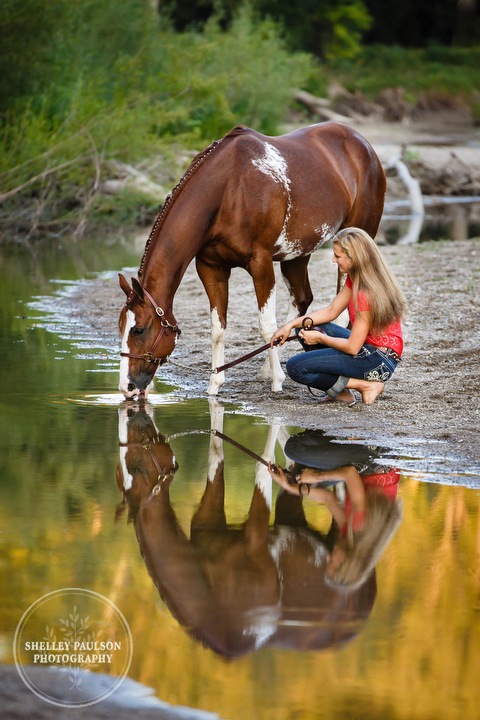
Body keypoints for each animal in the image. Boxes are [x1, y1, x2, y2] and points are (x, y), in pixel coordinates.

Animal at [119, 121, 386, 400]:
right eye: (120, 327)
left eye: (138, 330)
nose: (127, 387)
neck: (228, 190)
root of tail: (361, 143)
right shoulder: (211, 268)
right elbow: (218, 327)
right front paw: (215, 383)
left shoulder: (261, 263)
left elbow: (267, 325)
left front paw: (278, 382)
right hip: (297, 254)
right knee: (302, 301)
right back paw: (268, 368)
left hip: (352, 241)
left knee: (340, 312)